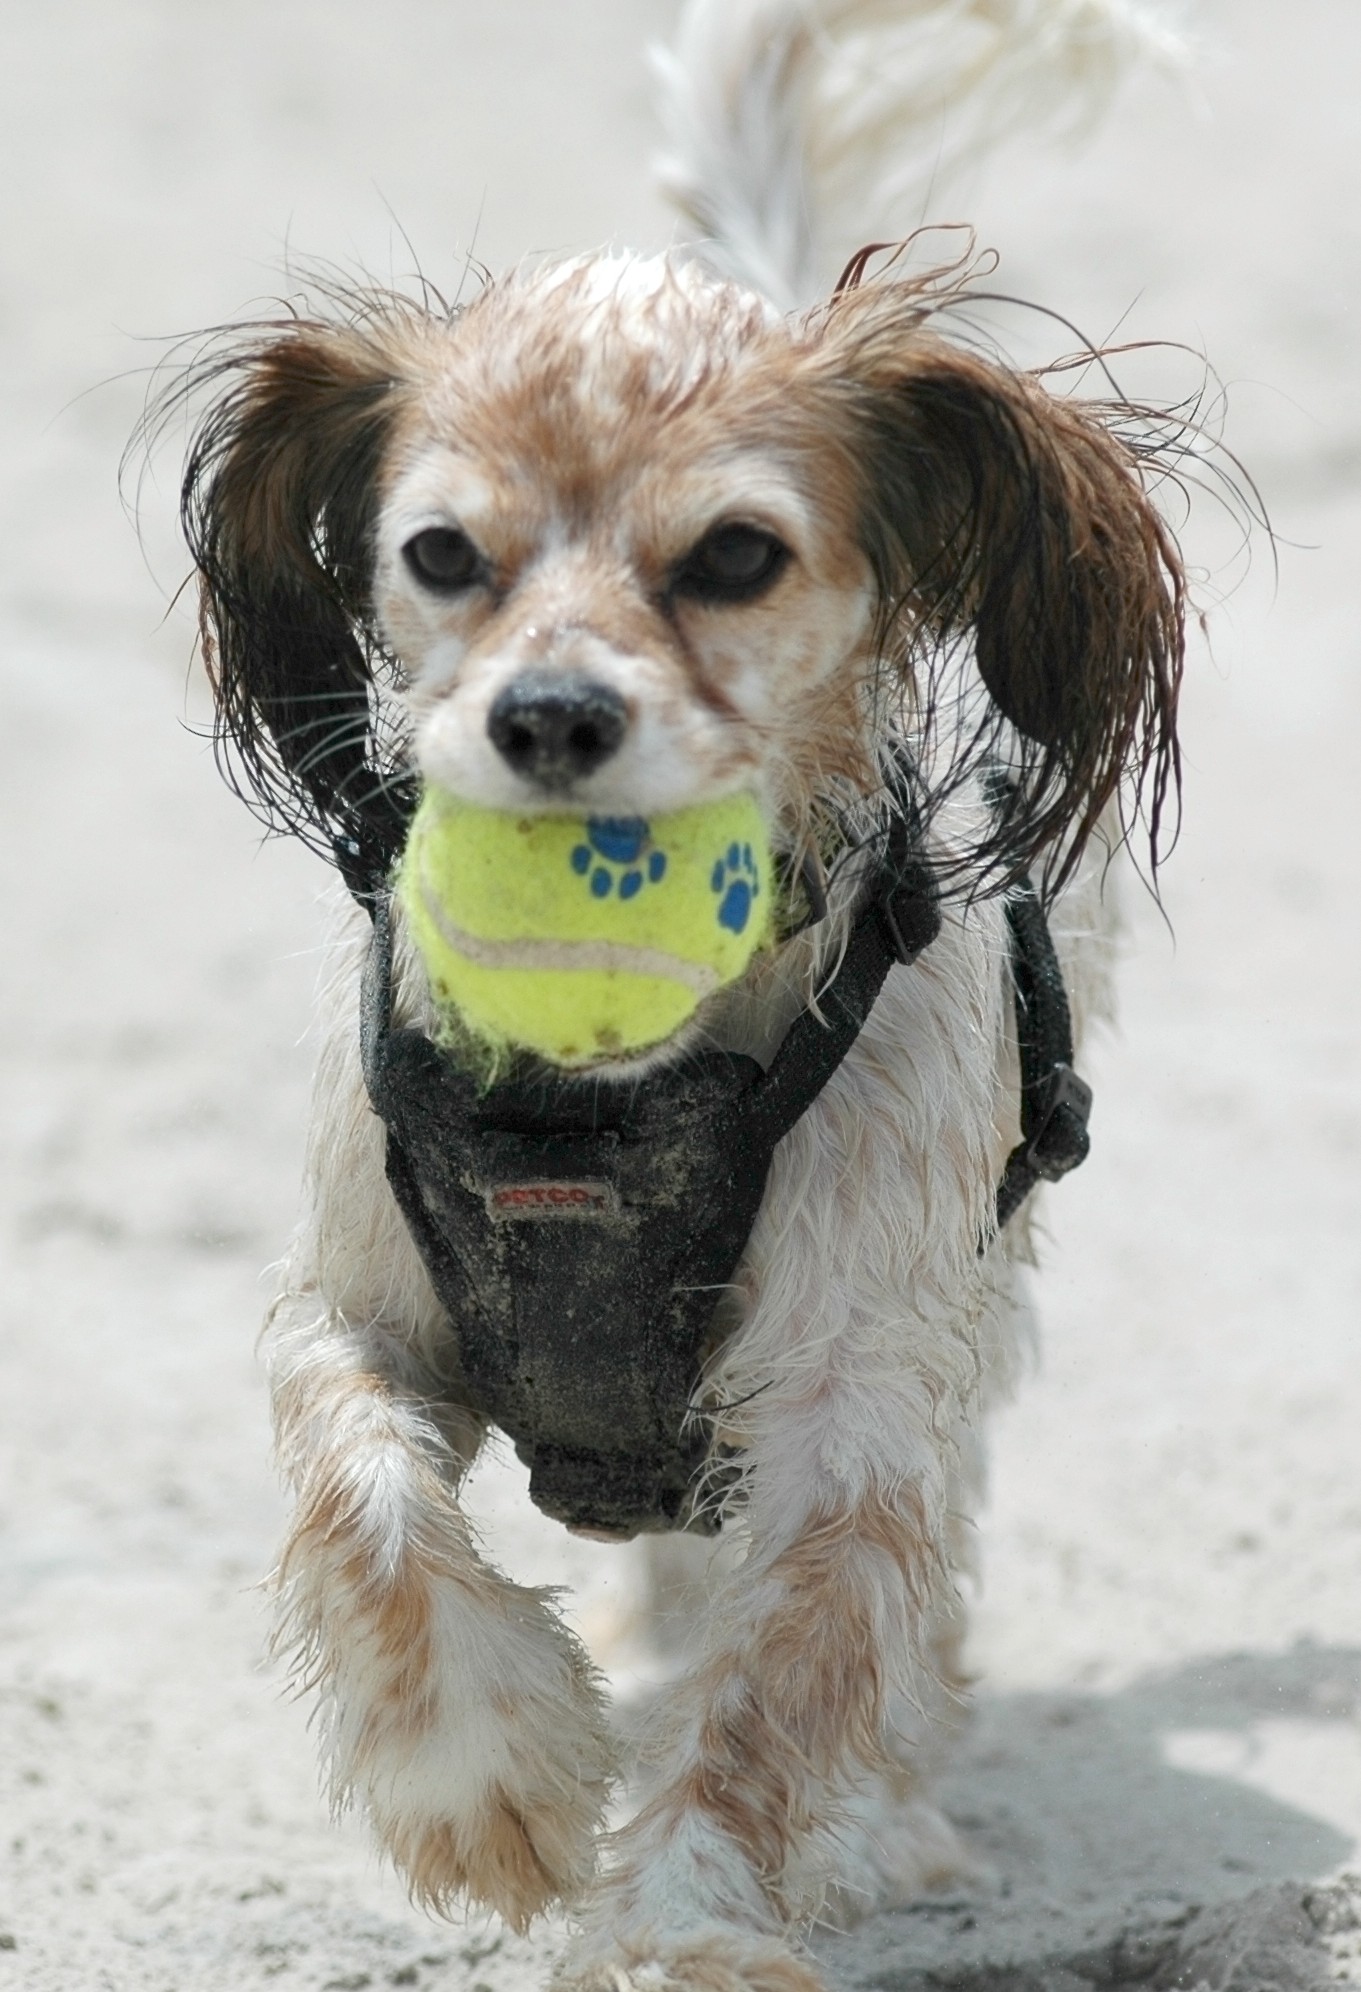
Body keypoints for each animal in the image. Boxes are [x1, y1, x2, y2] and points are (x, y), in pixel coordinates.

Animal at [162, 3, 1195, 1992]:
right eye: (440, 554)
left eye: (732, 556)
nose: (550, 715)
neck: (610, 1095)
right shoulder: (355, 1312)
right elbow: (372, 1508)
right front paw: (488, 1783)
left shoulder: (852, 1397)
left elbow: (781, 1685)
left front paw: (688, 1912)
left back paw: (884, 1822)